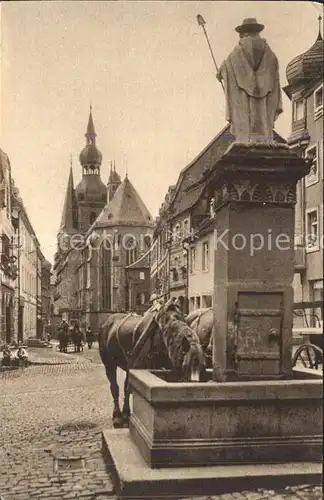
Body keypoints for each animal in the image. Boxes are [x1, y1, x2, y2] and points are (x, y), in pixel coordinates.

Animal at [97, 298, 206, 428]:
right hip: (109, 364)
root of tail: (106, 323)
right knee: (115, 387)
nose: (195, 387)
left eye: (203, 367)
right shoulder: (139, 367)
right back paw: (117, 417)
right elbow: (128, 388)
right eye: (185, 366)